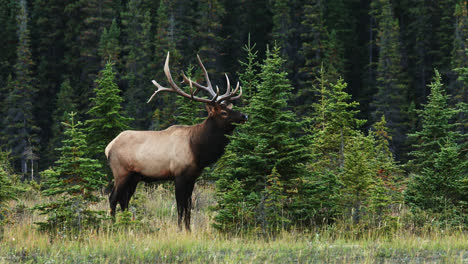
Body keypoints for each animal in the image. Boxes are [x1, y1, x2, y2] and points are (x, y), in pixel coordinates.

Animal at [104, 52, 247, 230]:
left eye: (230, 107)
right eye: (223, 112)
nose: (244, 116)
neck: (198, 150)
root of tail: (108, 147)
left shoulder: (192, 177)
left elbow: (189, 208)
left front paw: (188, 230)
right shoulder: (179, 175)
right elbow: (180, 207)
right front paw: (179, 229)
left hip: (134, 177)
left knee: (124, 200)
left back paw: (127, 225)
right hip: (120, 172)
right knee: (113, 198)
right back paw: (113, 226)